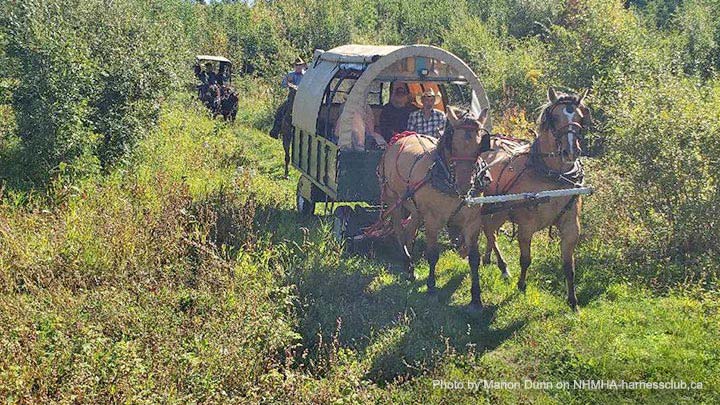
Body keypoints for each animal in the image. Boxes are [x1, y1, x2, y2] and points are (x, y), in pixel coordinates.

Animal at [378, 107, 492, 310]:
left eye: (480, 147)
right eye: (453, 145)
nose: (465, 185)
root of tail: (402, 136)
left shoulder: (472, 222)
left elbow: (474, 258)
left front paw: (476, 298)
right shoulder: (432, 220)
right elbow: (432, 254)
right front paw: (431, 288)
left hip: (415, 209)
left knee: (409, 231)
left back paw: (410, 267)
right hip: (394, 200)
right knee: (399, 231)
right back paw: (407, 262)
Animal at [479, 87, 591, 310]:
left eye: (580, 117)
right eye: (555, 118)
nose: (571, 151)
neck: (553, 175)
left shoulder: (571, 226)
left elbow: (569, 266)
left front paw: (573, 301)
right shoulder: (526, 226)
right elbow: (525, 259)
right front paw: (521, 285)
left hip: (499, 212)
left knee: (491, 233)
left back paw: (489, 259)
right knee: (490, 233)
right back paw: (503, 266)